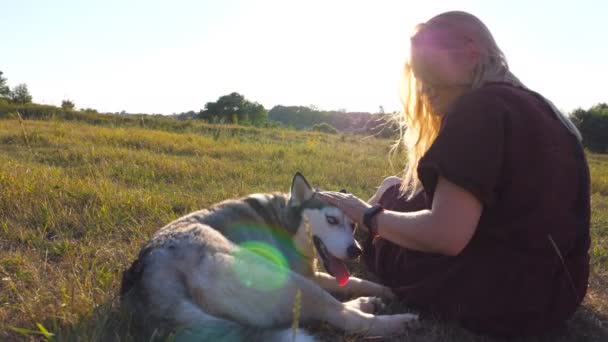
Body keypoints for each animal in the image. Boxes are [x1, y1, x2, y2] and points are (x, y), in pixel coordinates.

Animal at [121, 174, 416, 342]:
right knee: (342, 316)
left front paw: (383, 289)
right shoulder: (304, 275)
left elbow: (354, 280)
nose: (356, 251)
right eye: (331, 220)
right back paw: (393, 320)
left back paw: (369, 302)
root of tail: (150, 269)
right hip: (286, 279)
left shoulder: (310, 272)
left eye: (353, 225)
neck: (287, 219)